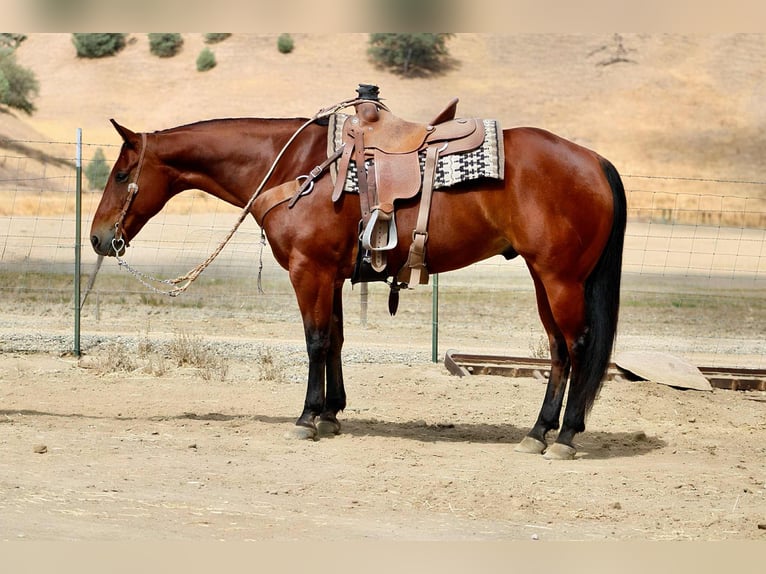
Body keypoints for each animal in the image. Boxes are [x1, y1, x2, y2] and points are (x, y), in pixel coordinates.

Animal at [89, 100, 626, 460]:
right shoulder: (331, 274)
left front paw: (308, 417)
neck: (296, 167)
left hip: (560, 278)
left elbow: (315, 340)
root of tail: (595, 160)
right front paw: (331, 413)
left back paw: (565, 436)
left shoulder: (309, 270)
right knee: (557, 351)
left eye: (120, 175)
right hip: (543, 278)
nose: (98, 238)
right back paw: (537, 433)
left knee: (578, 346)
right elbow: (336, 339)